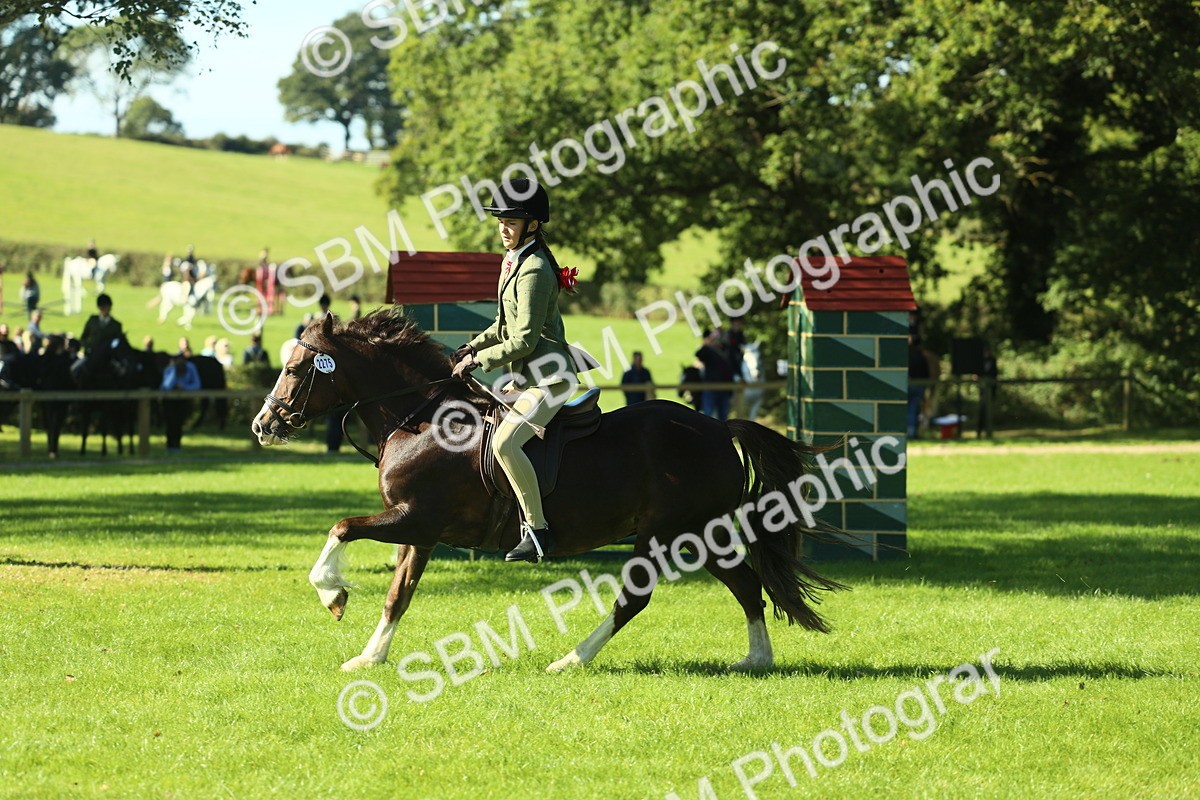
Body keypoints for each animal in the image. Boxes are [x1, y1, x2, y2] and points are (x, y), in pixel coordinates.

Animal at [251, 311, 846, 673]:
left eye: (297, 368)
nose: (263, 425)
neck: (420, 417)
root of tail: (718, 428)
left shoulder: (415, 517)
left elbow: (341, 529)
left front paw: (332, 594)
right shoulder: (418, 529)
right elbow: (399, 593)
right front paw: (369, 659)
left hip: (668, 533)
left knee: (638, 596)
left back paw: (571, 660)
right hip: (699, 533)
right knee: (745, 585)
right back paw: (757, 659)